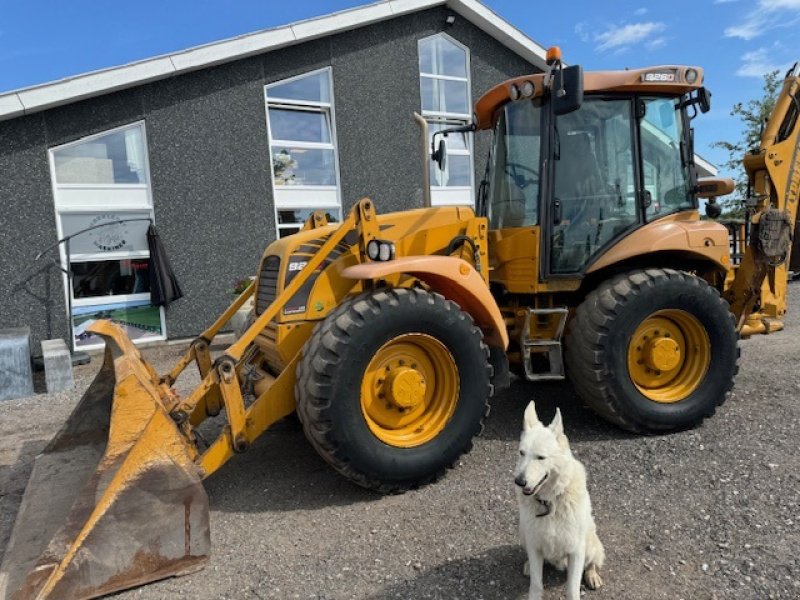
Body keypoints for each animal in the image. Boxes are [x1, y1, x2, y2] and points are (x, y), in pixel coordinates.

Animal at [516, 400, 604, 600]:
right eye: (521, 453)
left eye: (540, 457)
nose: (519, 481)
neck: (550, 502)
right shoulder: (535, 545)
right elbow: (536, 585)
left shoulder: (576, 551)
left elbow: (572, 589)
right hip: (524, 534)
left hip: (591, 544)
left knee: (592, 562)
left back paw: (592, 575)